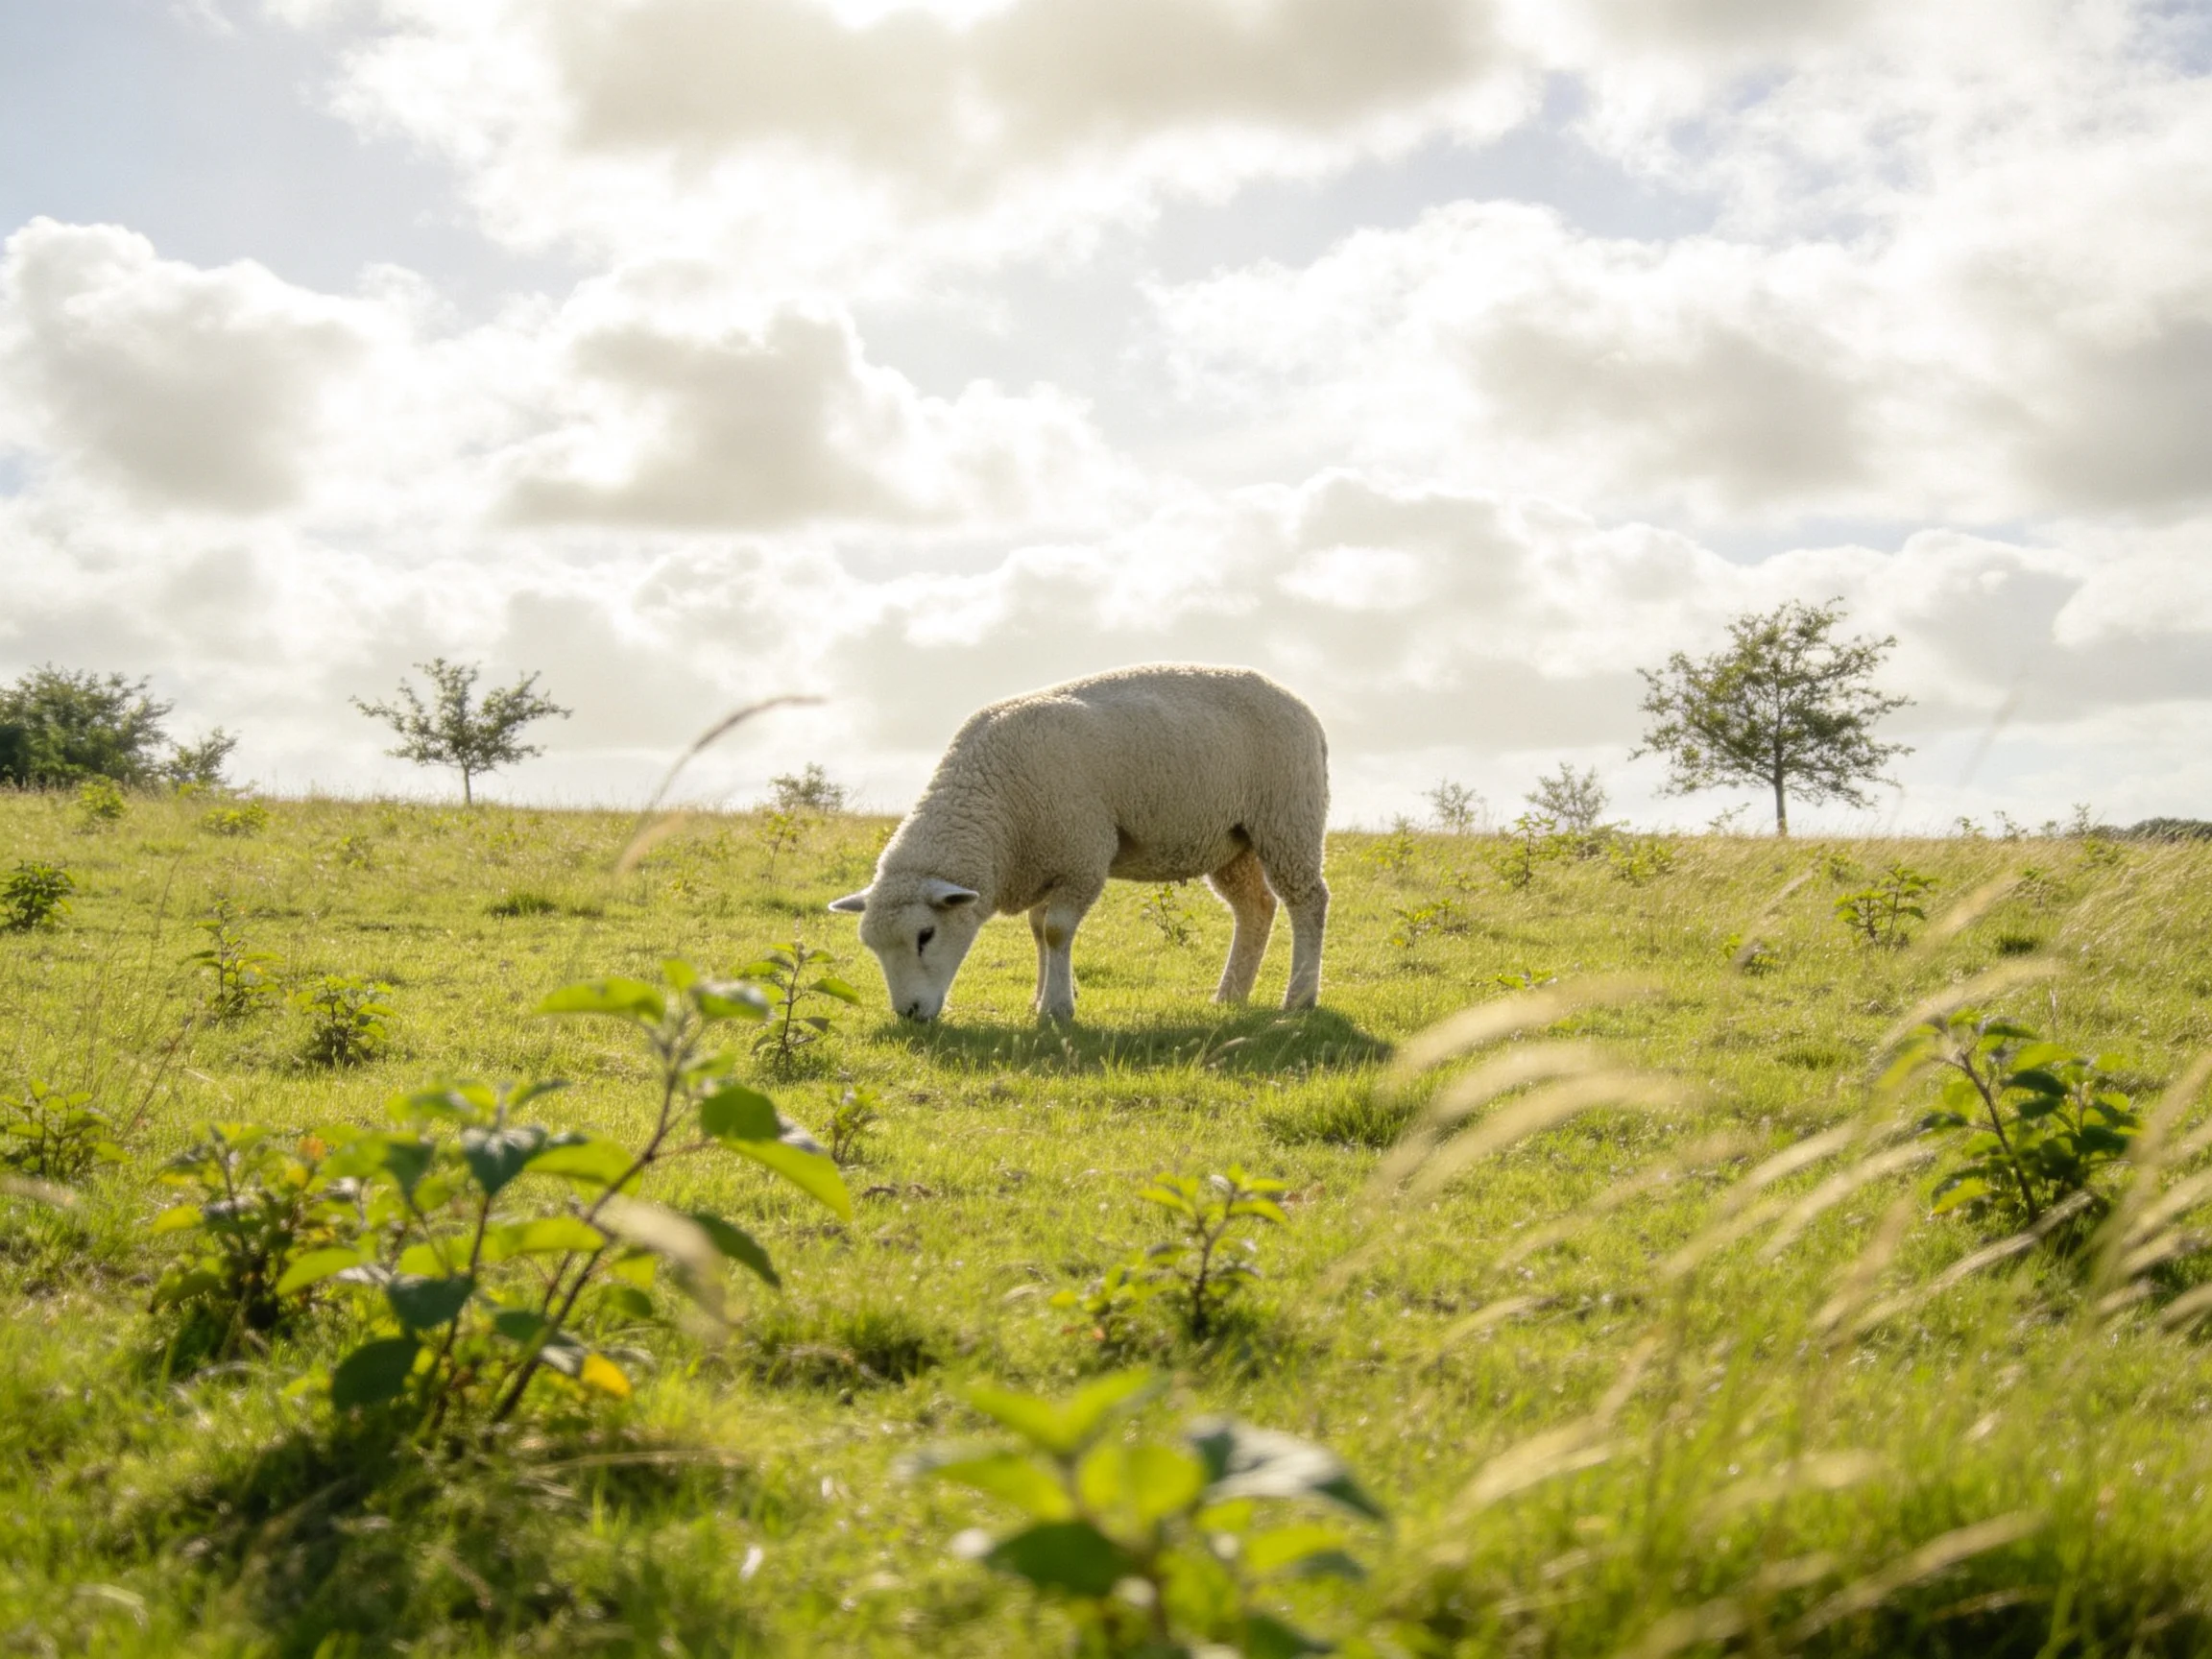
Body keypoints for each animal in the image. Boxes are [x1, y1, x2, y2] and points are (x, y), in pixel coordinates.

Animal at [828, 663, 1330, 1024]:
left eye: (925, 936)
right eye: (872, 946)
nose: (909, 1015)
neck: (995, 811)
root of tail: (1300, 706)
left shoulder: (1081, 856)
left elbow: (1055, 930)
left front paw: (1057, 1010)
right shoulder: (1042, 859)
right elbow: (1037, 930)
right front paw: (1041, 997)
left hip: (1288, 817)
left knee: (1308, 900)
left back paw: (1299, 997)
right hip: (1232, 840)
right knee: (1255, 908)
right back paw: (1229, 996)